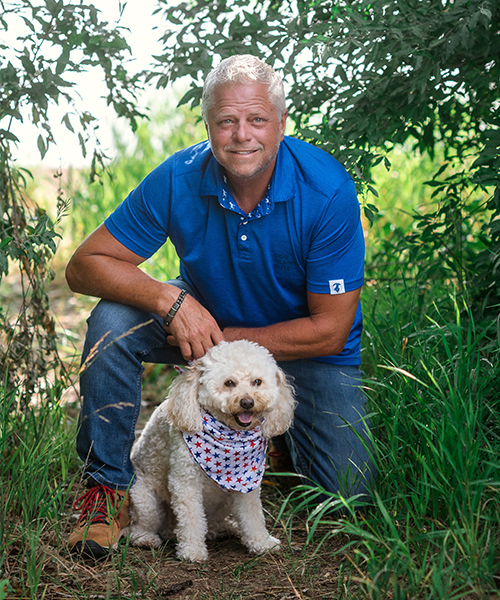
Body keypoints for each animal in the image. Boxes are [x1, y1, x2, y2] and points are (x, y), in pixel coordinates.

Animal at [129, 342, 296, 564]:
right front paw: (192, 550)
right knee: (140, 526)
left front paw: (262, 543)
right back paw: (146, 538)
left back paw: (224, 528)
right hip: (145, 501)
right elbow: (191, 518)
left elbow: (253, 515)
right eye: (229, 383)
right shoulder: (185, 481)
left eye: (257, 382)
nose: (247, 402)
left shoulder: (247, 484)